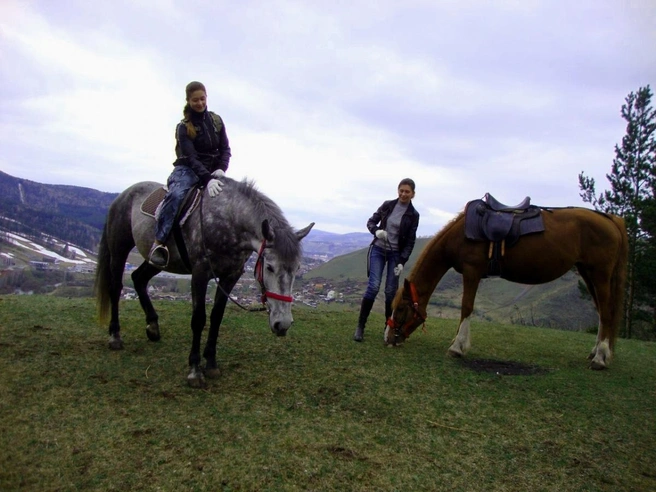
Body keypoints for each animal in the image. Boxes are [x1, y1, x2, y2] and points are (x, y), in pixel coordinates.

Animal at [94, 177, 316, 388]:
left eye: (297, 268)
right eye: (269, 267)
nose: (283, 324)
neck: (229, 221)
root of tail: (124, 194)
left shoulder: (230, 276)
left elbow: (216, 317)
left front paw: (211, 363)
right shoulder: (200, 273)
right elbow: (199, 319)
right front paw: (195, 370)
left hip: (158, 261)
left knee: (138, 278)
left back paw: (153, 327)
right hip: (119, 249)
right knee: (116, 288)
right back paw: (115, 336)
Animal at [384, 206, 632, 370]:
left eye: (401, 309)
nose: (388, 338)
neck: (462, 233)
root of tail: (610, 219)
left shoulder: (472, 271)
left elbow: (466, 307)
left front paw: (457, 346)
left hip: (599, 274)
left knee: (606, 312)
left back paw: (600, 357)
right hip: (588, 273)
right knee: (602, 313)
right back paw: (596, 352)